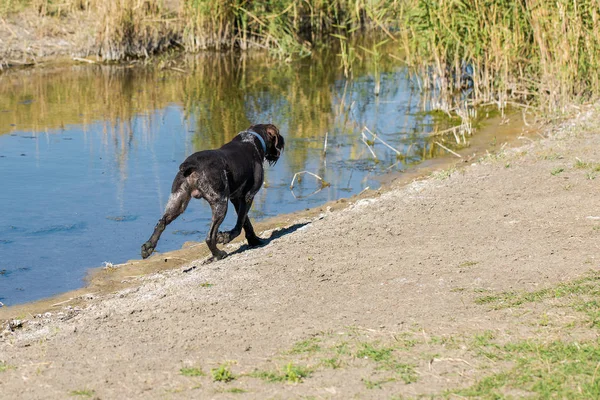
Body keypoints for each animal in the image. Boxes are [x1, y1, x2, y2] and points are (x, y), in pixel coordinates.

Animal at [141, 125, 284, 262]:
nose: (283, 141)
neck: (251, 140)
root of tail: (191, 164)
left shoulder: (236, 198)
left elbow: (246, 223)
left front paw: (254, 240)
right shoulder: (248, 196)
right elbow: (240, 224)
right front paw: (226, 237)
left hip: (177, 203)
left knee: (161, 223)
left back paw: (148, 247)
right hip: (220, 204)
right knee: (209, 237)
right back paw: (218, 255)